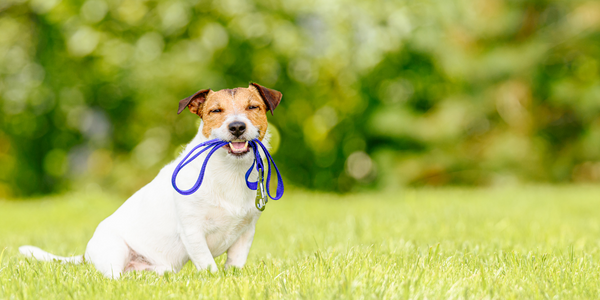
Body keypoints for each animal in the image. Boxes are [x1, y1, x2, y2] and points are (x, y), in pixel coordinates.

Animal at [18, 82, 282, 278]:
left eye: (253, 107)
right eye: (215, 111)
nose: (237, 127)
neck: (229, 171)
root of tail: (87, 255)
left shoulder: (246, 231)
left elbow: (235, 263)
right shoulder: (192, 229)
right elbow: (207, 263)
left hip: (161, 268)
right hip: (115, 250)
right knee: (114, 276)